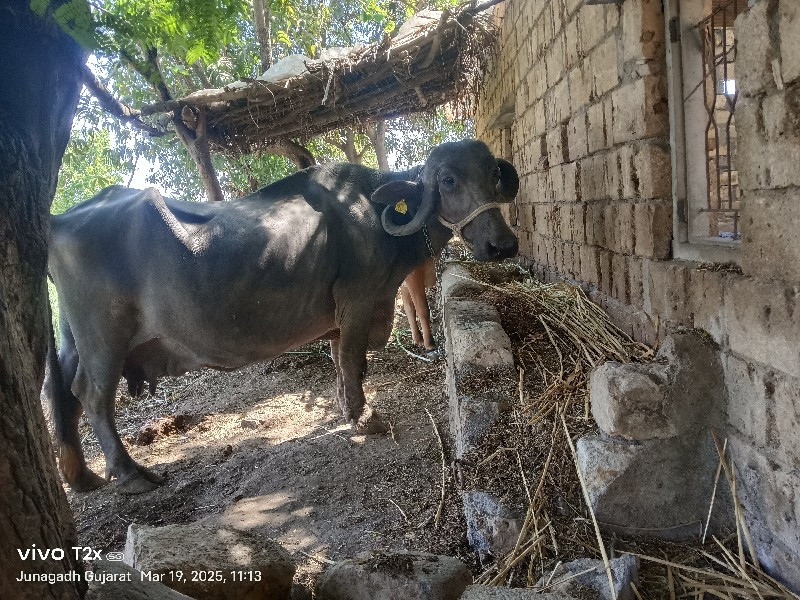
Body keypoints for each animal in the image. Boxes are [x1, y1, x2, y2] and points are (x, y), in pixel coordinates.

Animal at [45, 139, 520, 492]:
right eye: (448, 179)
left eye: (493, 175)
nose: (502, 245)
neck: (373, 217)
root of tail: (59, 221)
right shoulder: (358, 302)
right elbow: (353, 360)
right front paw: (364, 416)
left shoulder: (340, 316)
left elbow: (339, 363)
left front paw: (346, 407)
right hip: (104, 338)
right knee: (92, 395)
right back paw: (129, 473)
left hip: (72, 338)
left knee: (62, 392)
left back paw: (83, 476)